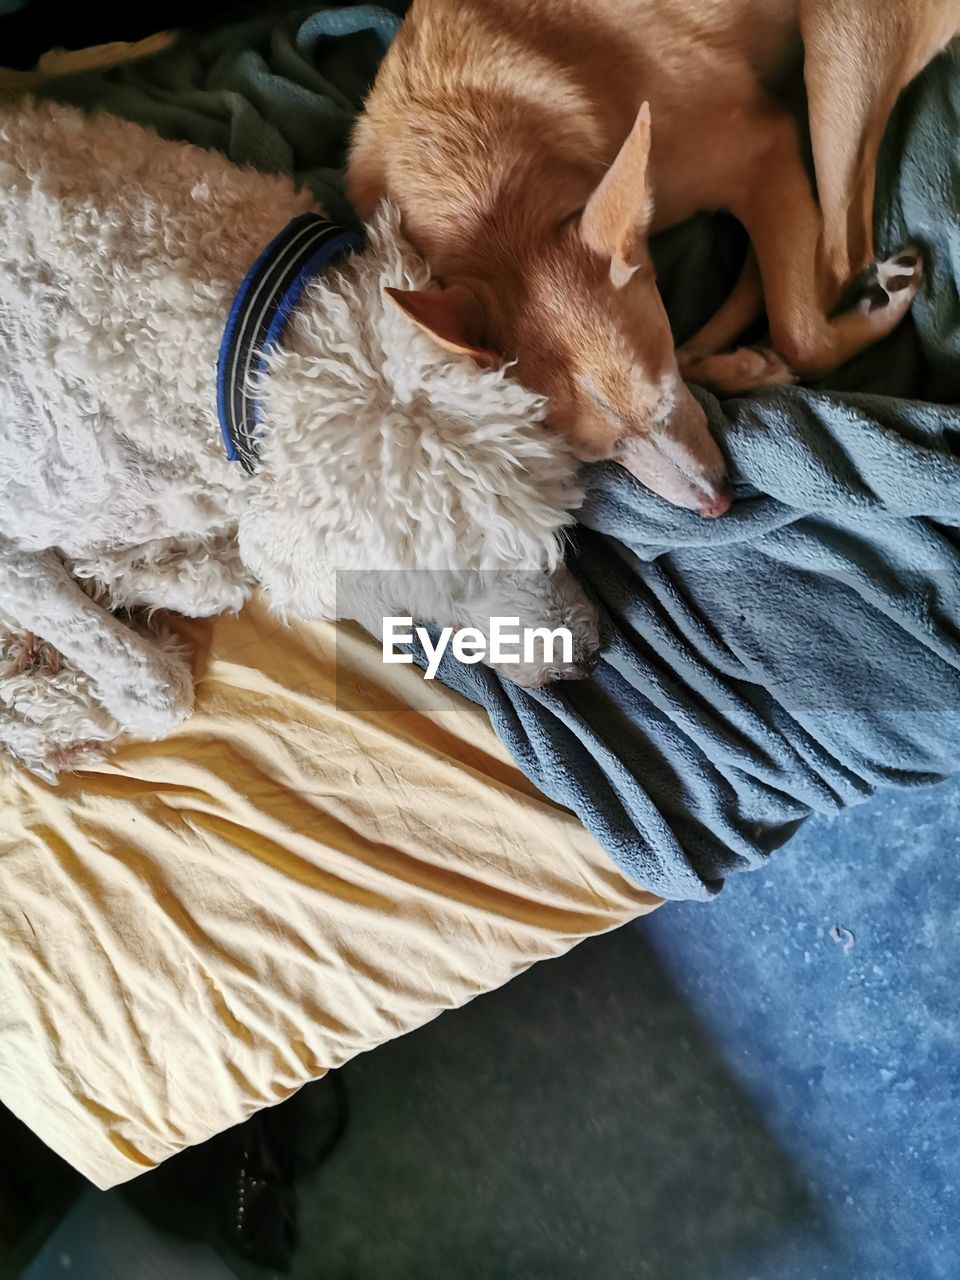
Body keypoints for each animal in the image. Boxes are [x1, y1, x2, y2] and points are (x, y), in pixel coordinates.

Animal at [0, 99, 599, 773]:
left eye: (553, 533)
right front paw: (85, 689)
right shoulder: (16, 544)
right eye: (458, 576)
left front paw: (132, 578)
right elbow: (161, 689)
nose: (583, 662)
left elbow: (217, 576)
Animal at [350, 6, 960, 514]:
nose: (717, 506)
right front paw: (735, 363)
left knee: (838, 259)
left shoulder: (762, 151)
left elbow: (800, 329)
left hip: (837, 48)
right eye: (597, 454)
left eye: (664, 398)